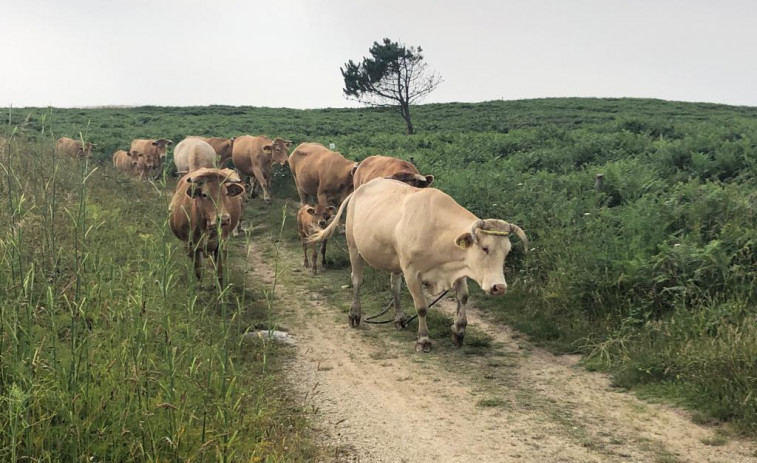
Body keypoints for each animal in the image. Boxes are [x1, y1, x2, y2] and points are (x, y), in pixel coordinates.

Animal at [308, 179, 524, 354]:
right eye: (485, 248)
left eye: (507, 251)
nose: (499, 287)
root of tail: (360, 189)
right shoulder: (412, 272)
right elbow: (421, 307)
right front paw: (424, 339)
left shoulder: (457, 269)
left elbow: (463, 297)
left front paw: (459, 331)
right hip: (354, 247)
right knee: (357, 281)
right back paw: (355, 314)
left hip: (395, 260)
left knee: (394, 285)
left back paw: (399, 318)